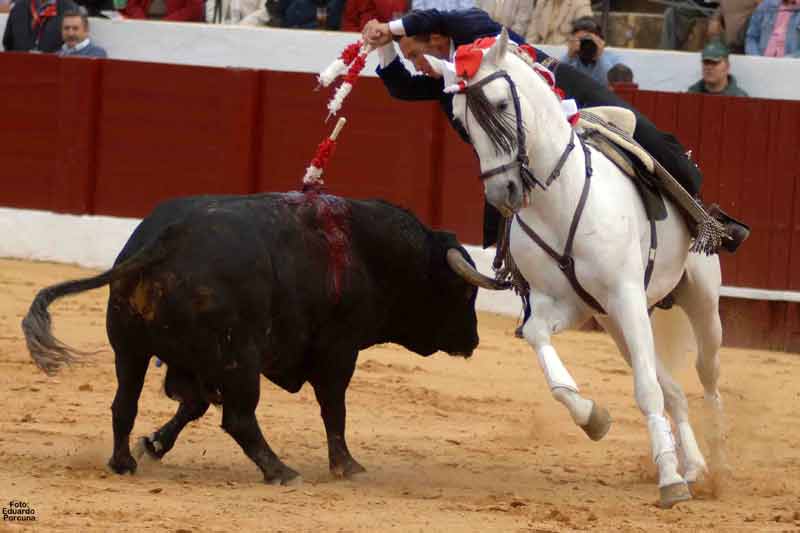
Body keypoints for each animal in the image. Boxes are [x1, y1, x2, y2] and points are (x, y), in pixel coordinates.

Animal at [21, 192, 506, 482]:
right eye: (465, 292)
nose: (473, 340)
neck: (371, 253)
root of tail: (166, 238)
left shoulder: (191, 363)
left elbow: (191, 406)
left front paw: (155, 444)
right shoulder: (338, 352)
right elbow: (334, 408)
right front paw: (347, 467)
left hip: (131, 349)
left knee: (125, 402)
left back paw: (123, 462)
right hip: (239, 358)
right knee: (239, 418)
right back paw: (280, 471)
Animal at [428, 30, 728, 508]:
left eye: (501, 103)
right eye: (459, 119)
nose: (502, 192)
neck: (560, 199)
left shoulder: (624, 293)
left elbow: (646, 390)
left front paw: (668, 481)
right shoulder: (567, 303)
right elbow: (542, 344)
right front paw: (593, 418)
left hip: (699, 298)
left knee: (706, 373)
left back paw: (715, 463)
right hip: (617, 322)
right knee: (674, 389)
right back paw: (695, 466)